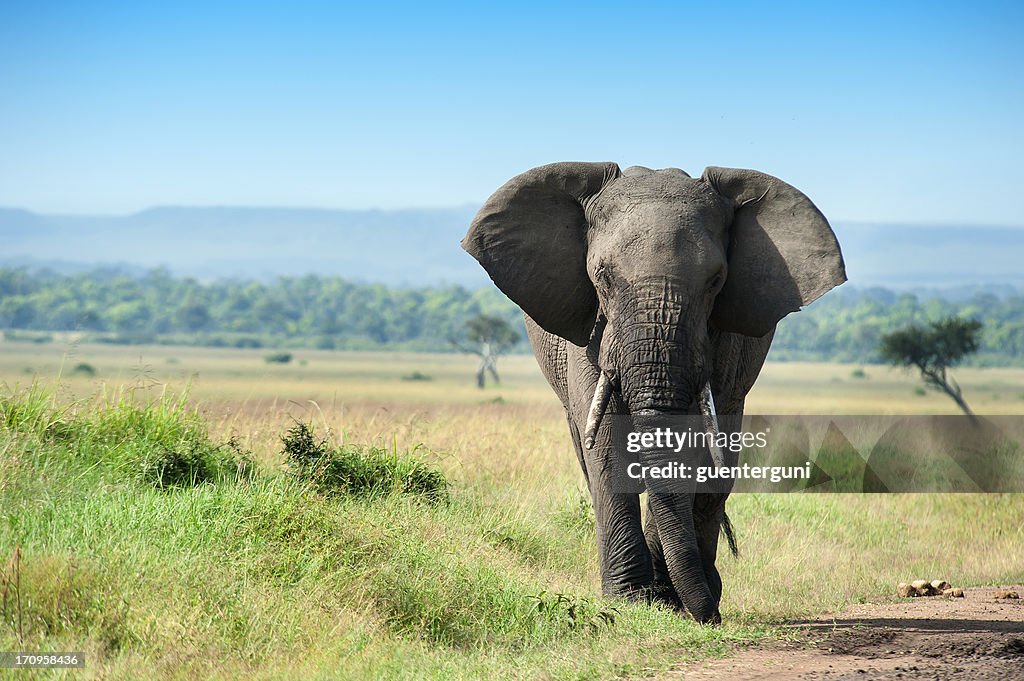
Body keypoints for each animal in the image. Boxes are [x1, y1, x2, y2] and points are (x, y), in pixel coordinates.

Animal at [460, 160, 843, 622]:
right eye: (602, 277)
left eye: (716, 281)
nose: (712, 621)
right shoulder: (590, 331)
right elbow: (605, 439)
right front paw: (628, 602)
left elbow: (697, 446)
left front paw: (668, 603)